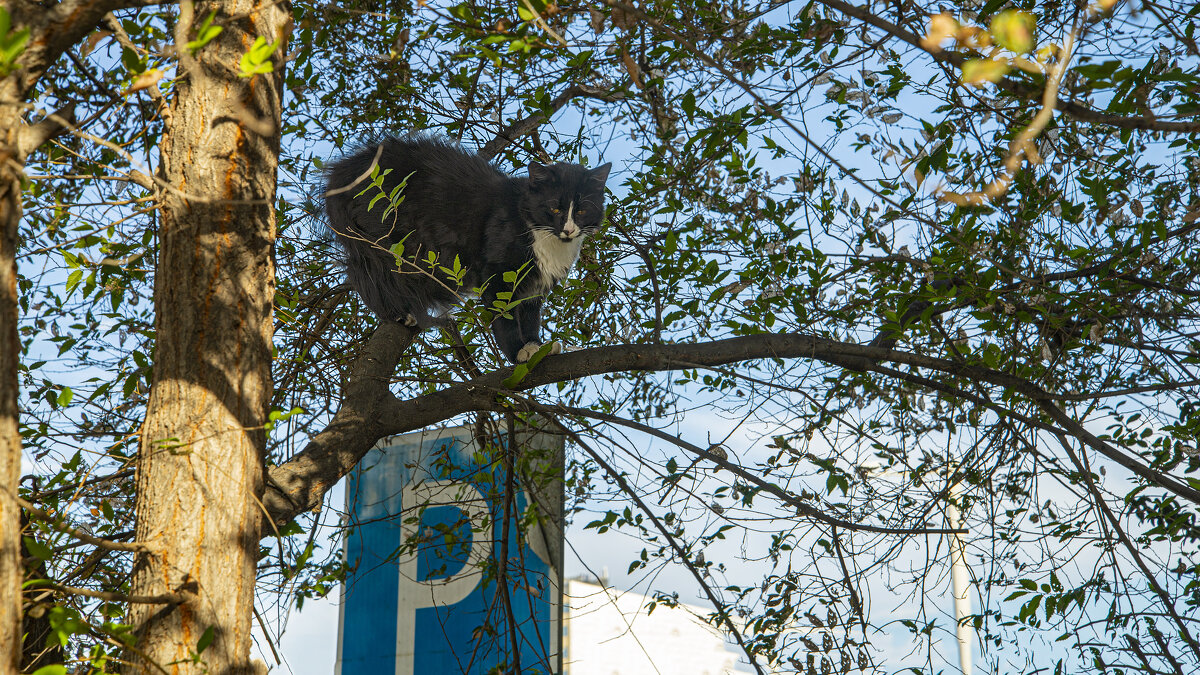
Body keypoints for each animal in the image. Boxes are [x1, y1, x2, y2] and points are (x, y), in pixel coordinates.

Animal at [324, 135, 614, 362]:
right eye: (554, 208)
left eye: (582, 210)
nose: (569, 229)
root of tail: (345, 170)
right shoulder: (497, 273)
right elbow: (505, 316)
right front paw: (518, 353)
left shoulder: (533, 286)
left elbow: (530, 317)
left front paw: (536, 346)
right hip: (390, 235)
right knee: (371, 274)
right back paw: (401, 314)